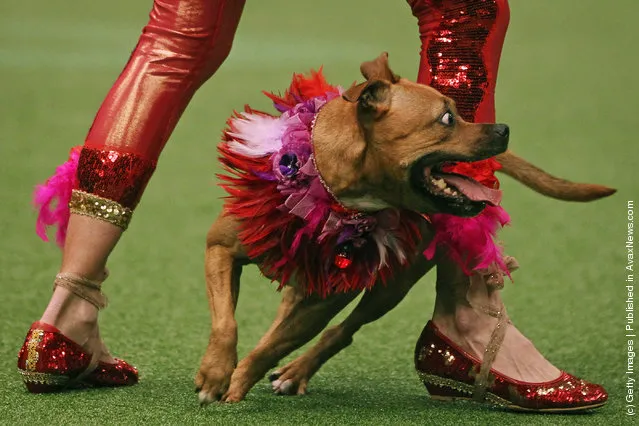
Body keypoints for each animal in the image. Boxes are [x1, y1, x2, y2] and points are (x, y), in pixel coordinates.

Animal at [195, 52, 616, 402]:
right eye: (446, 118)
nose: (503, 129)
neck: (332, 189)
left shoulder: (326, 301)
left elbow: (274, 346)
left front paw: (235, 382)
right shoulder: (221, 249)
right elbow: (226, 323)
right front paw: (217, 373)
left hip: (389, 289)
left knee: (340, 331)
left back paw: (294, 372)